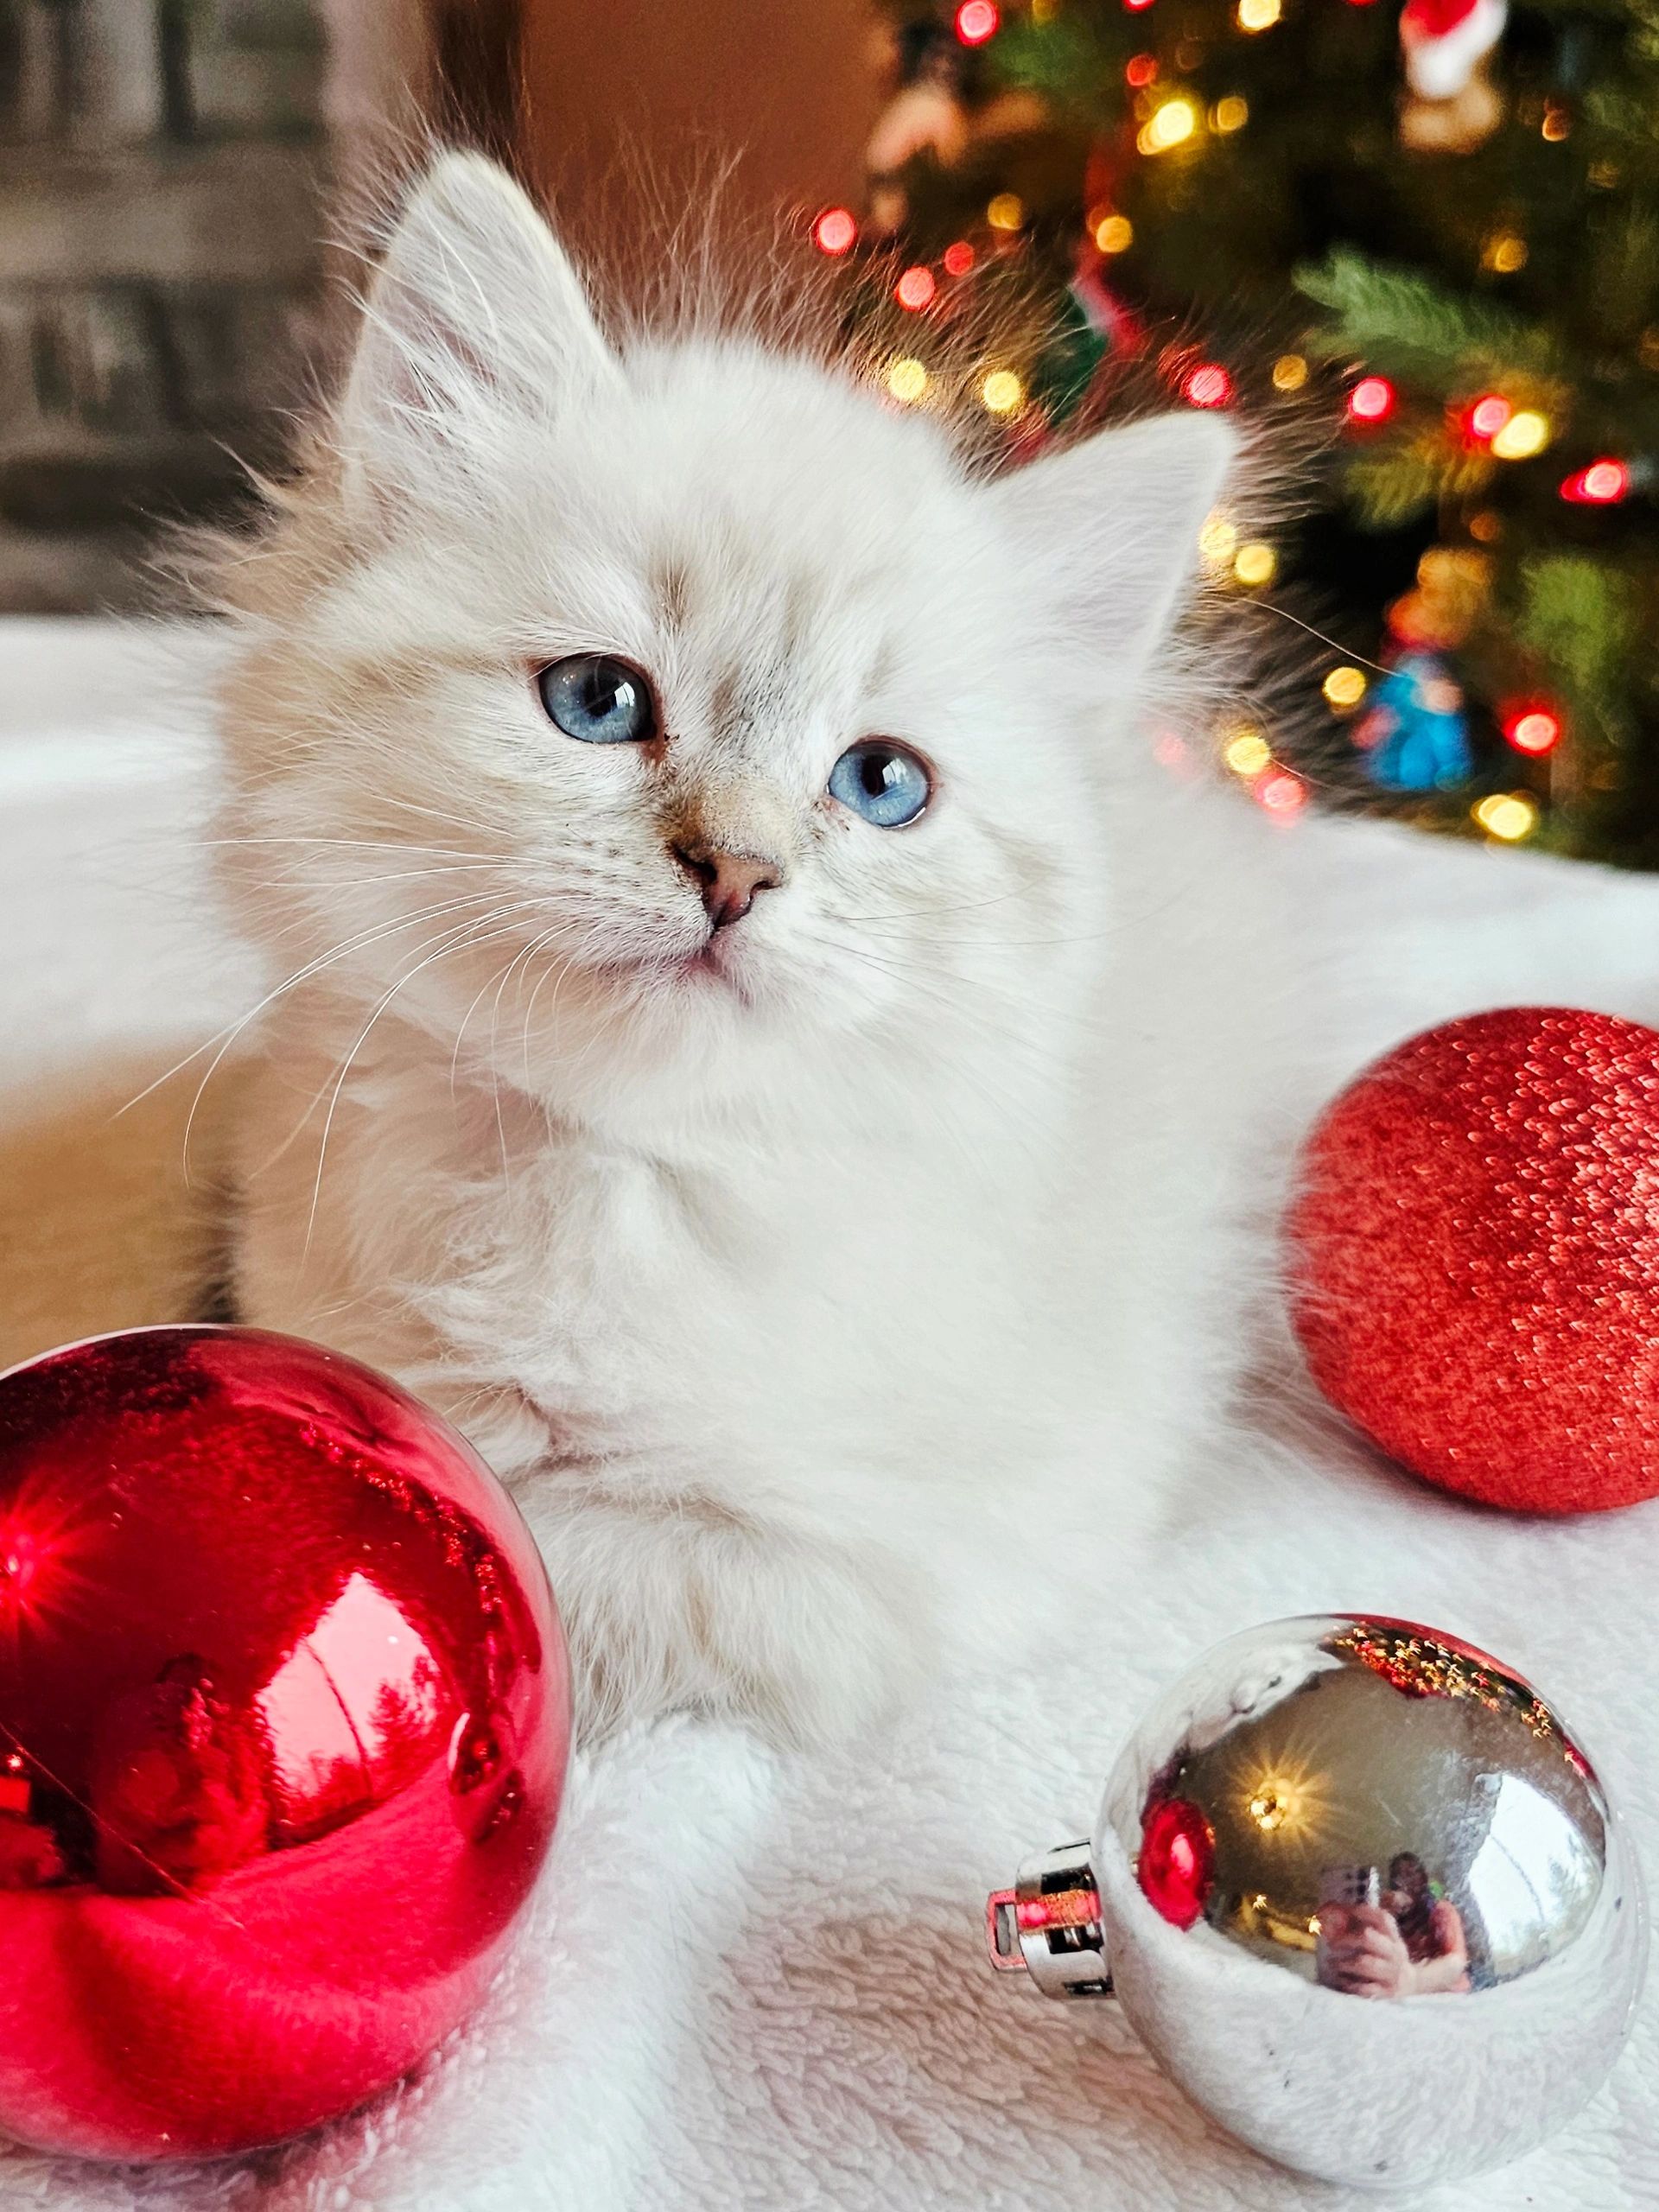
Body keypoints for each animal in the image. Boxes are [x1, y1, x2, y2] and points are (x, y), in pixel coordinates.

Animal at [212, 151, 1292, 1745]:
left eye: (882, 784)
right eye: (597, 701)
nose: (736, 871)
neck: (605, 1182)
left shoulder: (885, 1567)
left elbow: (573, 1572)